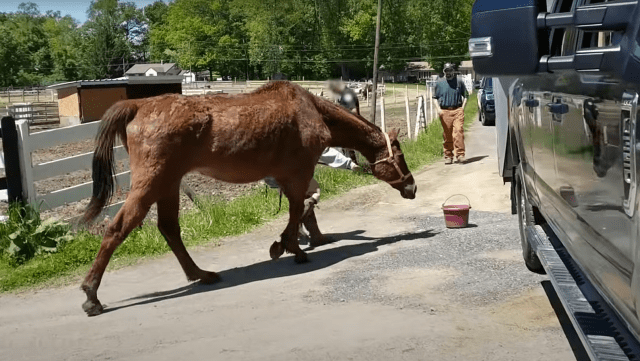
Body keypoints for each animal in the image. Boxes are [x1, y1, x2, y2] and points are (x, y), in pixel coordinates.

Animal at [80, 81, 418, 316]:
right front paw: (291, 248)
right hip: (151, 184)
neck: (312, 110)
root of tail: (138, 106)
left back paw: (201, 275)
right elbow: (297, 210)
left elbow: (301, 209)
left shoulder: (287, 178)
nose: (412, 187)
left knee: (169, 229)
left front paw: (291, 243)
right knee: (118, 229)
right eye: (400, 154)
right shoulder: (298, 174)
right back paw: (92, 296)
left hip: (168, 185)